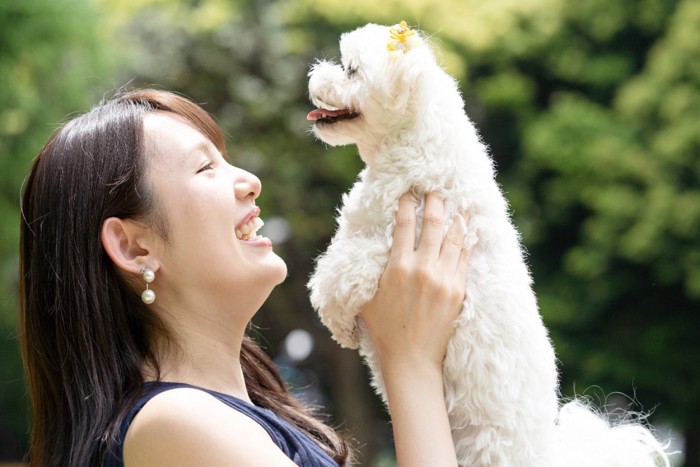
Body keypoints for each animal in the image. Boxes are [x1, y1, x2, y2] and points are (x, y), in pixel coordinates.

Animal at [308, 20, 672, 466]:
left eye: (351, 70)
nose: (315, 75)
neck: (416, 147)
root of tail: (545, 452)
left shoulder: (391, 245)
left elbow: (336, 274)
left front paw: (339, 323)